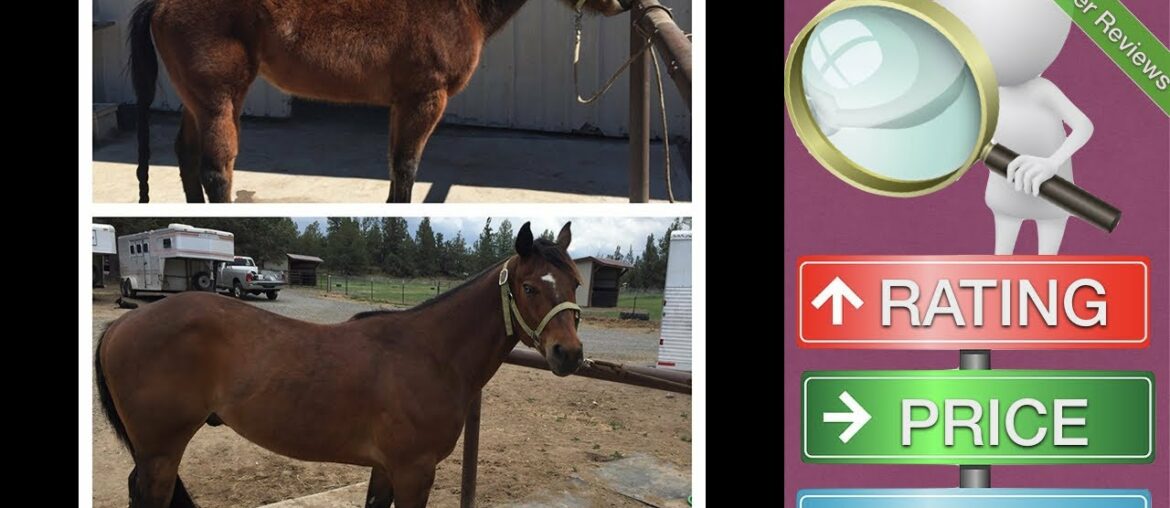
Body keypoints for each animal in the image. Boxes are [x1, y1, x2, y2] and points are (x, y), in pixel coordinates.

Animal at [95, 222, 585, 507]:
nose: (570, 353)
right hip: (161, 454)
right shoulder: (414, 471)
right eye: (528, 287)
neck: (431, 354)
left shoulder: (386, 469)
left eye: (575, 283)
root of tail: (123, 324)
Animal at [127, 0, 629, 203]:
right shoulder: (425, 99)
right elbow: (407, 166)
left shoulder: (402, 103)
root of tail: (164, 4)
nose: (623, 4)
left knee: (187, 156)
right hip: (219, 100)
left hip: (197, 102)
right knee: (217, 169)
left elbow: (395, 165)